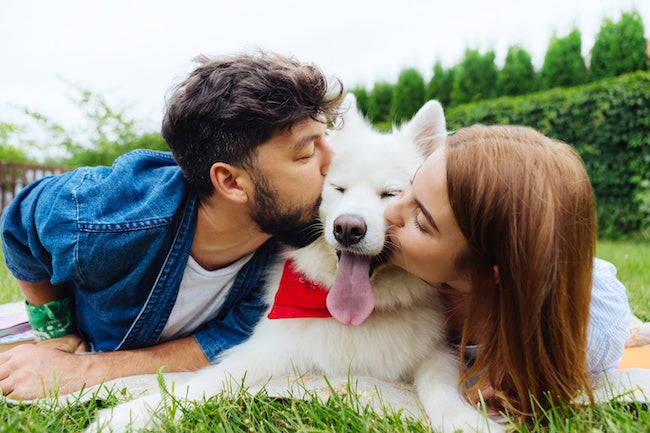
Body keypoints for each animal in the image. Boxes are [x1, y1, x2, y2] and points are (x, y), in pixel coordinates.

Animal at [88, 95, 498, 432]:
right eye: (338, 188)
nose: (348, 228)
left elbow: (440, 387)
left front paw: (466, 421)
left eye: (391, 194)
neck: (353, 318)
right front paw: (130, 415)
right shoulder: (267, 351)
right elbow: (207, 382)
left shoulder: (436, 352)